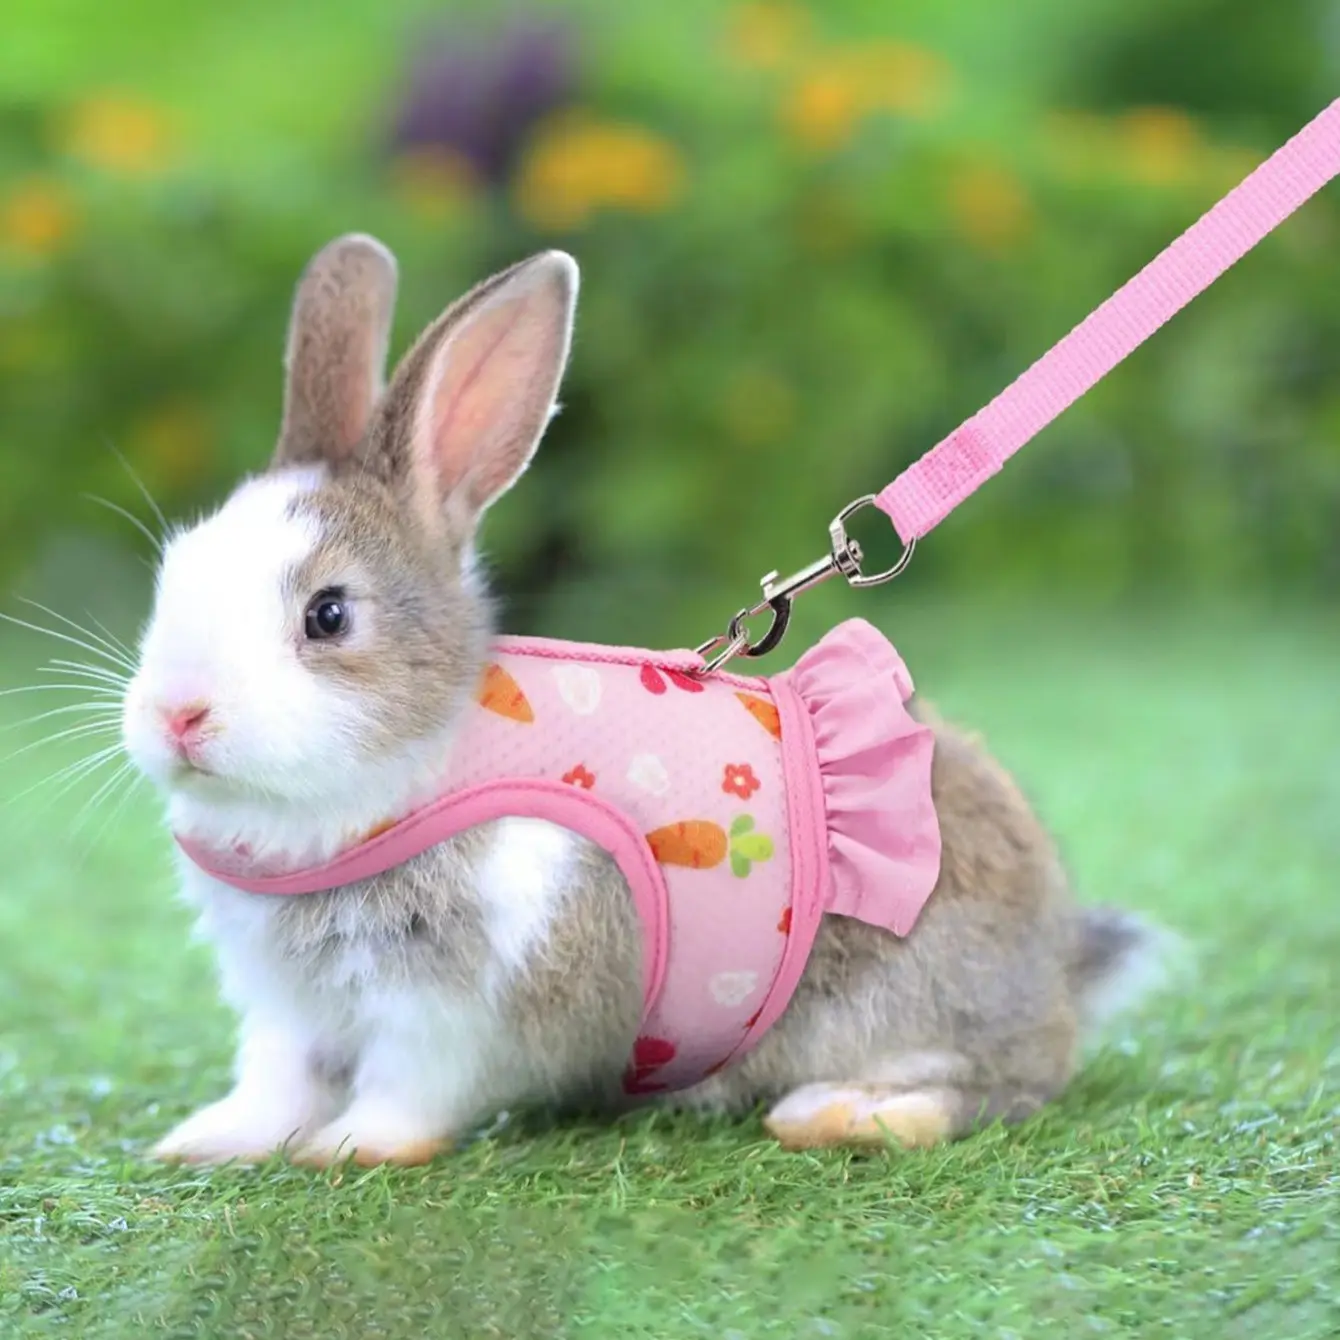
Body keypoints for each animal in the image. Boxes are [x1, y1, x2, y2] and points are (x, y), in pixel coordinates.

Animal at [119, 234, 1169, 1167]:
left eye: (329, 614)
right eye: (170, 575)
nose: (177, 717)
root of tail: (1059, 964)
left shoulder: (458, 1008)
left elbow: (407, 1089)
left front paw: (350, 1149)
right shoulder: (288, 1010)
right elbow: (277, 1080)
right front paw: (209, 1142)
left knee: (994, 1089)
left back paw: (838, 1113)